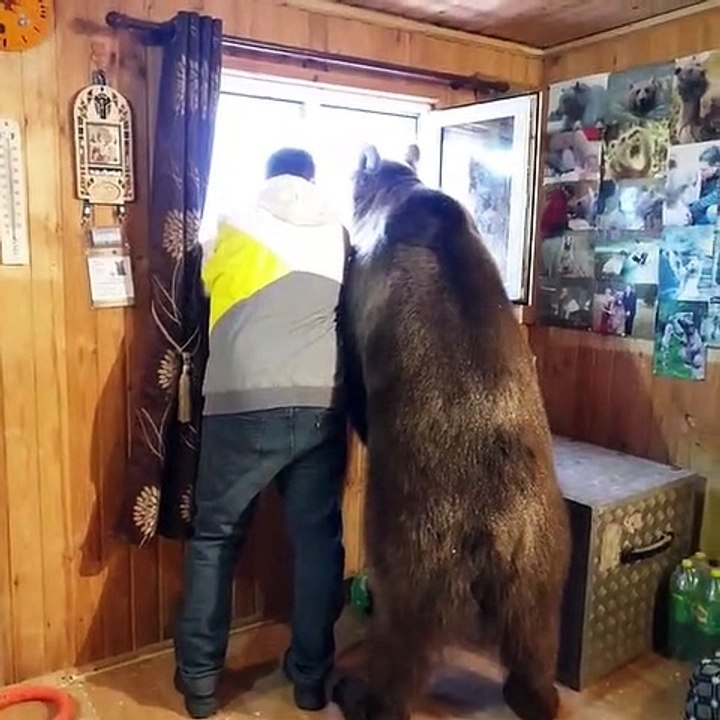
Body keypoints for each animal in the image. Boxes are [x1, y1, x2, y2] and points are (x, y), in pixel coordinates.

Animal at [332, 145, 572, 720]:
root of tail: (497, 530)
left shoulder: (365, 282)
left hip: (417, 541)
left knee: (400, 634)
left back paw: (362, 695)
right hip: (542, 556)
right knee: (535, 636)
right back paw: (534, 694)